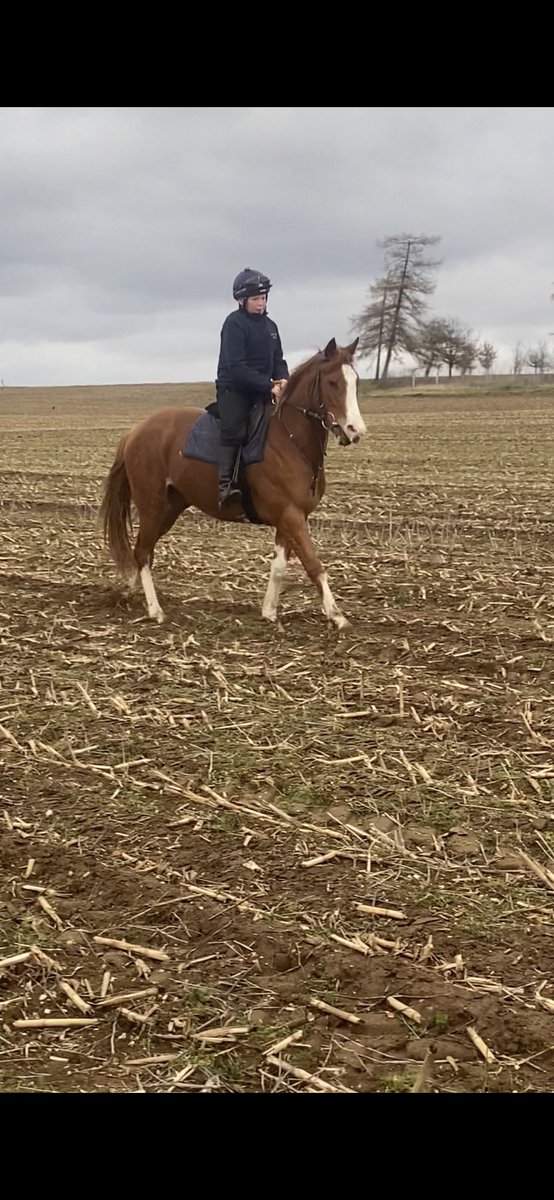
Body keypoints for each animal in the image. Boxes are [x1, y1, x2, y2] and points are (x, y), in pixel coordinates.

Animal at [99, 337, 366, 630]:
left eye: (355, 381)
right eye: (333, 382)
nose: (356, 431)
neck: (290, 441)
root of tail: (135, 431)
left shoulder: (290, 518)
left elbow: (279, 567)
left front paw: (269, 611)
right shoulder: (291, 516)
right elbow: (313, 563)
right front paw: (337, 616)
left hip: (170, 508)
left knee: (143, 550)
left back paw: (130, 591)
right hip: (152, 506)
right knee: (143, 552)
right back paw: (155, 610)